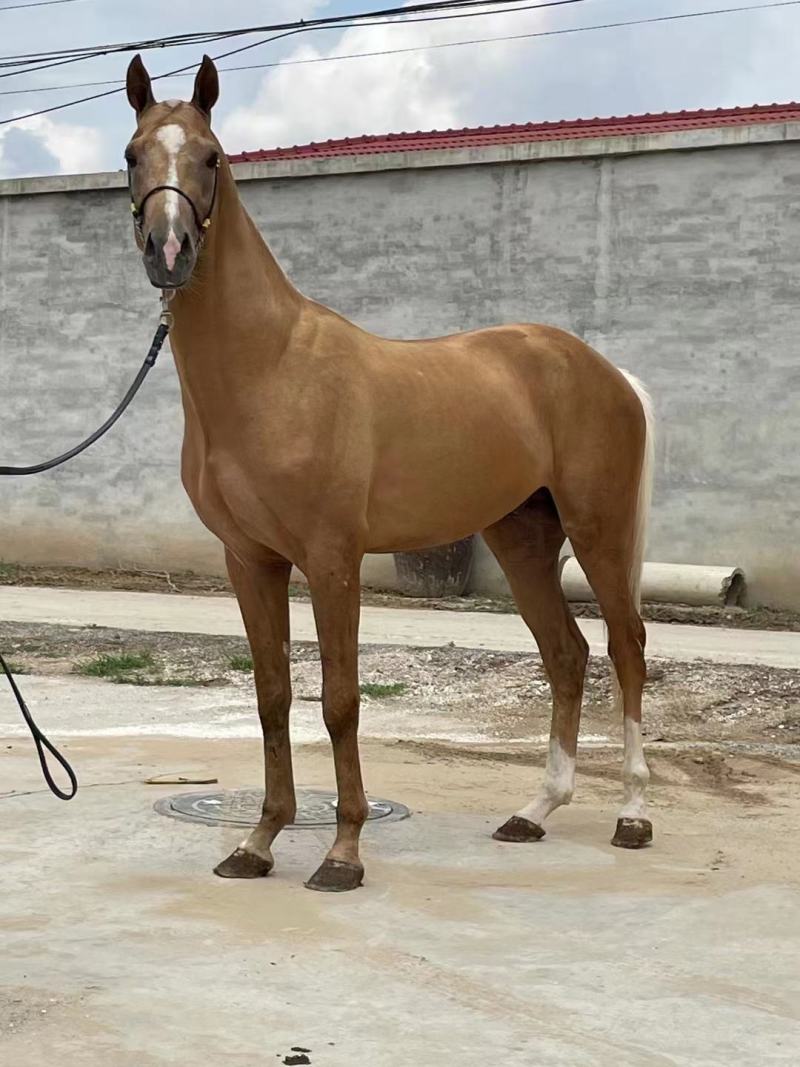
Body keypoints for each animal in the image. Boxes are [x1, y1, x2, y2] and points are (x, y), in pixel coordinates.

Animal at [124, 54, 655, 892]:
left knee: (626, 648)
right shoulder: (251, 560)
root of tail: (606, 372)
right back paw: (535, 811)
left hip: (598, 531)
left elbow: (340, 700)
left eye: (210, 157)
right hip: (522, 538)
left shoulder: (332, 560)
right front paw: (258, 841)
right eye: (131, 154)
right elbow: (272, 696)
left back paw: (632, 813)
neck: (270, 368)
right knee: (566, 653)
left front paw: (342, 851)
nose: (167, 249)